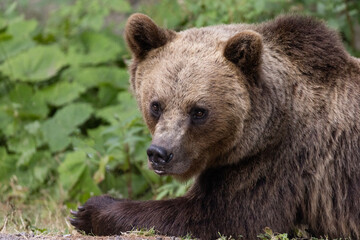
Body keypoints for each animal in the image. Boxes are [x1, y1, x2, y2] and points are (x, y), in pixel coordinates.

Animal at [70, 13, 360, 240]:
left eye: (199, 111)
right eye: (156, 105)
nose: (160, 153)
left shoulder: (279, 163)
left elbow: (221, 216)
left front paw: (88, 210)